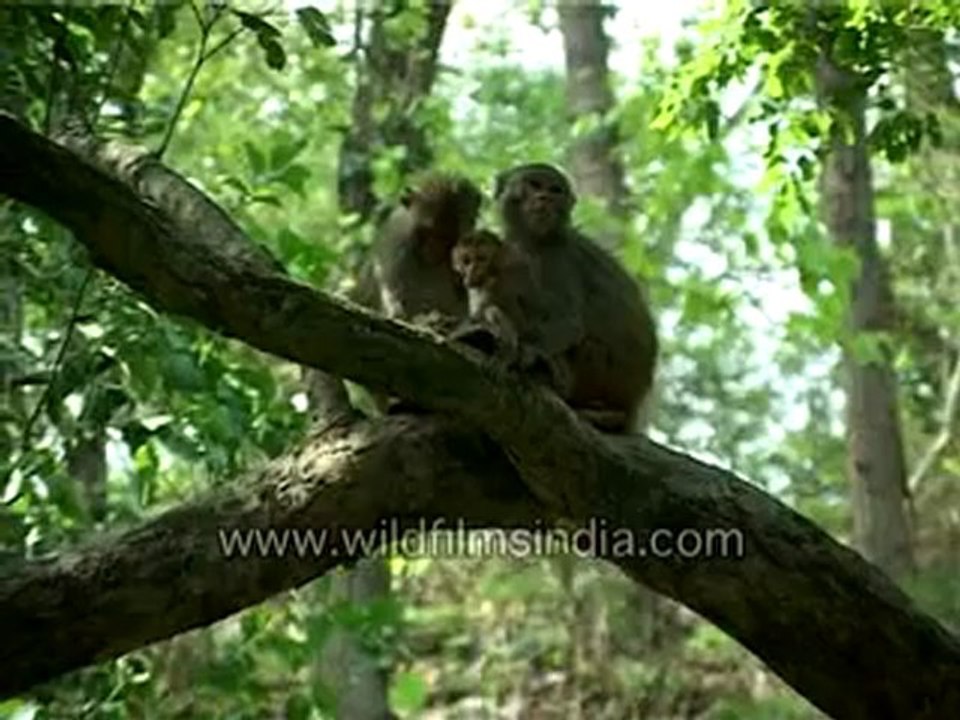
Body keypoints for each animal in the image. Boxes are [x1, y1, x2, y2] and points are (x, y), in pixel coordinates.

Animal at [488, 162, 658, 433]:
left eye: (555, 190)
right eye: (534, 184)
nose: (544, 198)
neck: (535, 241)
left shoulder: (559, 258)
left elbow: (568, 320)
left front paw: (528, 350)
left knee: (591, 346)